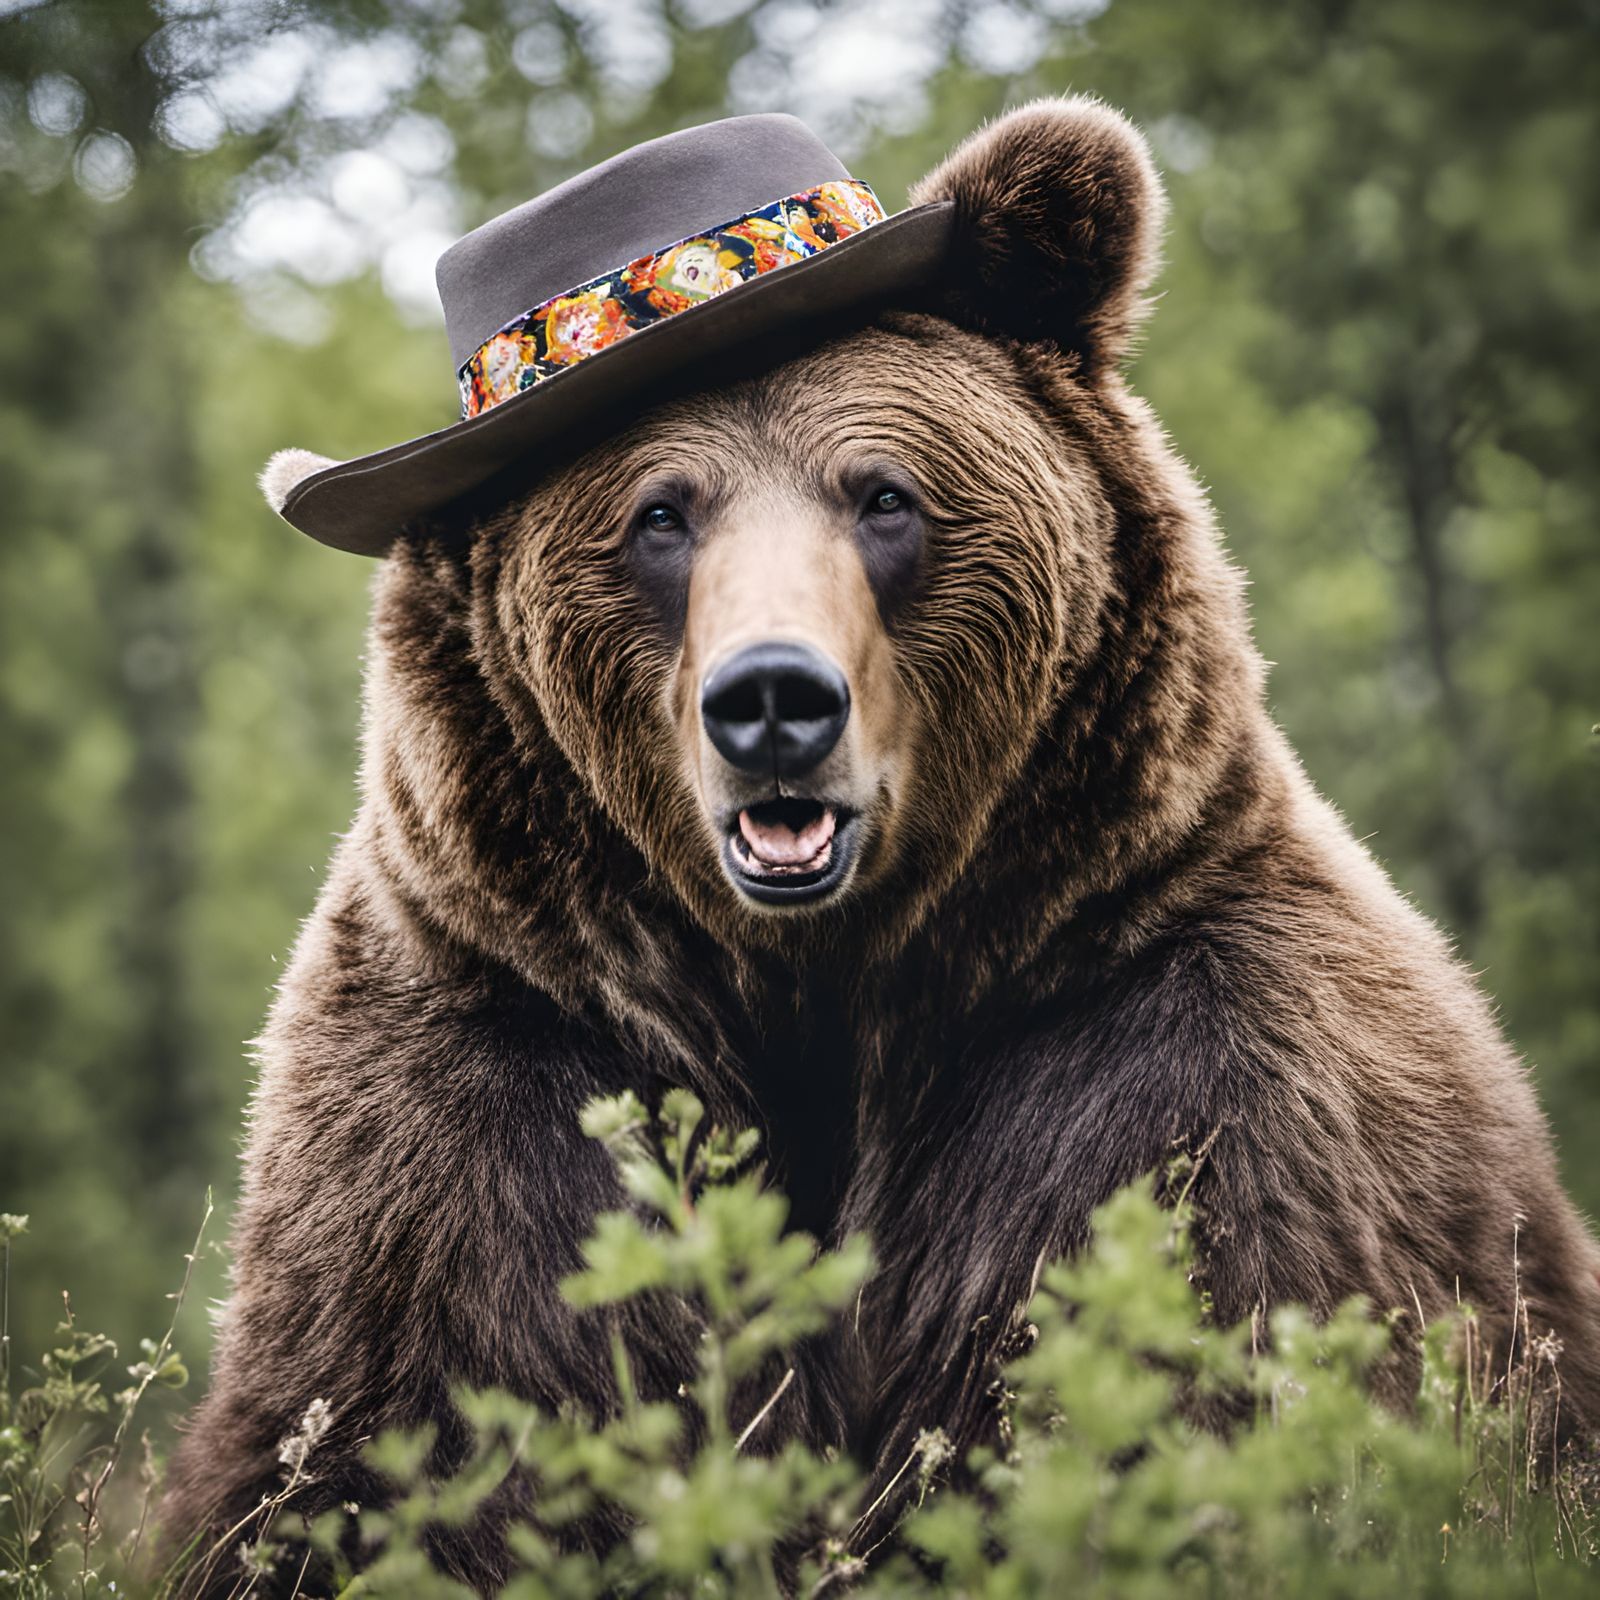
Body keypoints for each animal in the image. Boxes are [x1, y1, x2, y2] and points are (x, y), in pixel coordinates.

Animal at [161, 97, 1600, 1594]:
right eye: (660, 514)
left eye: (885, 494)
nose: (772, 701)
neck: (826, 989)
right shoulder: (484, 1087)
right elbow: (413, 1444)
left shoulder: (1183, 1055)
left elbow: (1191, 1370)